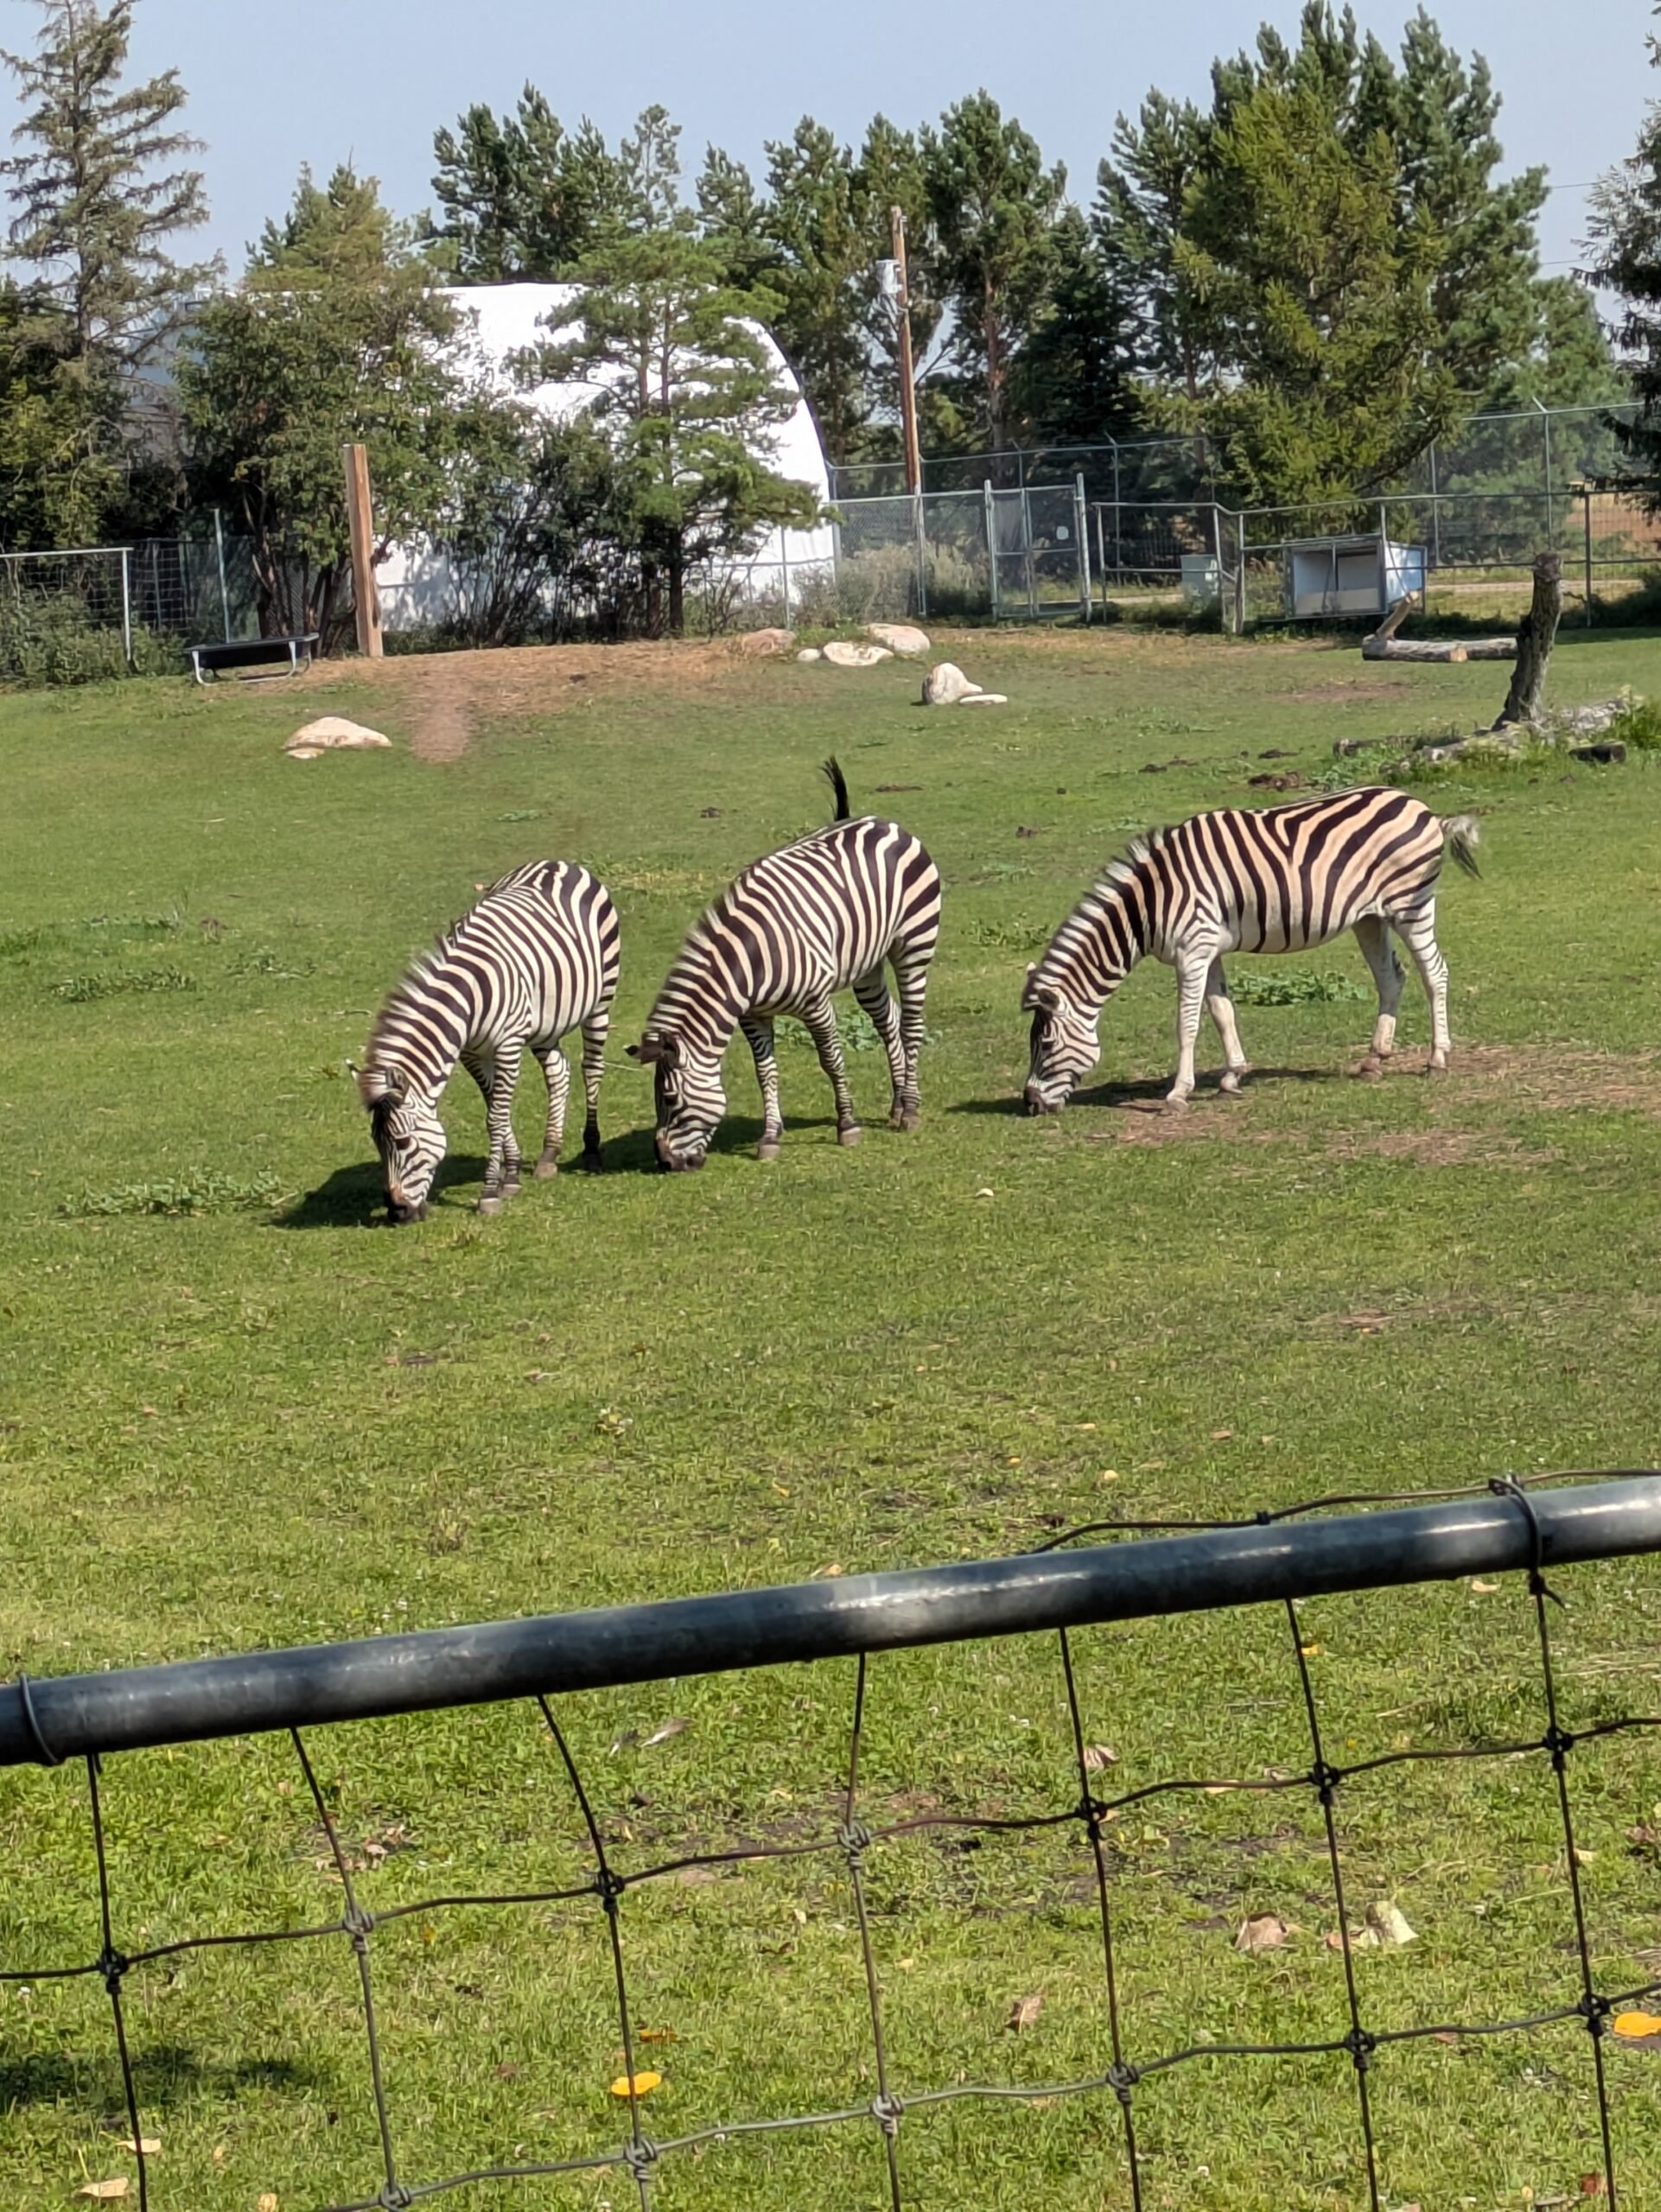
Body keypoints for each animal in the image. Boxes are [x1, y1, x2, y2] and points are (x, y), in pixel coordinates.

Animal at [357, 860, 620, 1221]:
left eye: (403, 1142)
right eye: (376, 1143)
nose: (396, 1212)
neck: (467, 997)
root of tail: (558, 863)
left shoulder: (507, 1045)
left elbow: (495, 1117)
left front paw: (490, 1192)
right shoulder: (471, 1052)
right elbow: (497, 1109)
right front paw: (512, 1175)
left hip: (600, 1001)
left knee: (591, 1068)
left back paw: (592, 1150)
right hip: (543, 1022)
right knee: (559, 1071)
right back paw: (549, 1155)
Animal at [629, 759, 942, 1170]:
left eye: (668, 1099)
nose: (665, 1163)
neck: (748, 961)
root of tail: (880, 821)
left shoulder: (816, 1003)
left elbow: (831, 1060)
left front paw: (847, 1126)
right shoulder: (753, 1016)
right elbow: (766, 1074)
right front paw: (770, 1137)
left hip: (913, 946)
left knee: (911, 1023)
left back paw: (911, 1111)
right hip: (866, 964)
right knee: (888, 1020)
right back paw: (898, 1102)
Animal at [1022, 786, 1480, 1115]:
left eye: (1045, 1044)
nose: (1030, 1105)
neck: (1150, 903)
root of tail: (1424, 810)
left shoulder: (1192, 951)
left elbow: (1187, 1025)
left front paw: (1178, 1094)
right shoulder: (1208, 950)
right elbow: (1222, 1012)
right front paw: (1232, 1078)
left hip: (1411, 905)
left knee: (1434, 973)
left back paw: (1437, 1059)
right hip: (1369, 917)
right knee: (1391, 977)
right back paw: (1374, 1060)